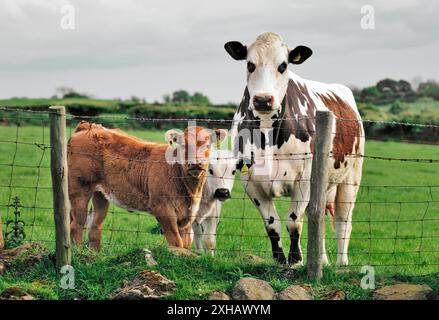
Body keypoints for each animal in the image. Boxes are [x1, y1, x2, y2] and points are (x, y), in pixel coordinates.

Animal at [66, 122, 215, 250]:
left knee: (95, 226)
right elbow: (176, 243)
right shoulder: (163, 209)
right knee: (77, 224)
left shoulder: (187, 216)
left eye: (207, 146)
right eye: (183, 145)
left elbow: (186, 244)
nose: (196, 163)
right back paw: (78, 254)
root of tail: (89, 126)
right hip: (79, 190)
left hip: (100, 194)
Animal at [225, 33, 366, 268]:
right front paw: (280, 259)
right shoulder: (251, 181)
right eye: (250, 64)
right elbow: (272, 224)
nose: (263, 99)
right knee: (317, 217)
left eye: (283, 65)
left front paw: (296, 260)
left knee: (344, 222)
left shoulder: (305, 179)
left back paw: (341, 264)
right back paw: (322, 261)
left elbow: (293, 220)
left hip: (351, 177)